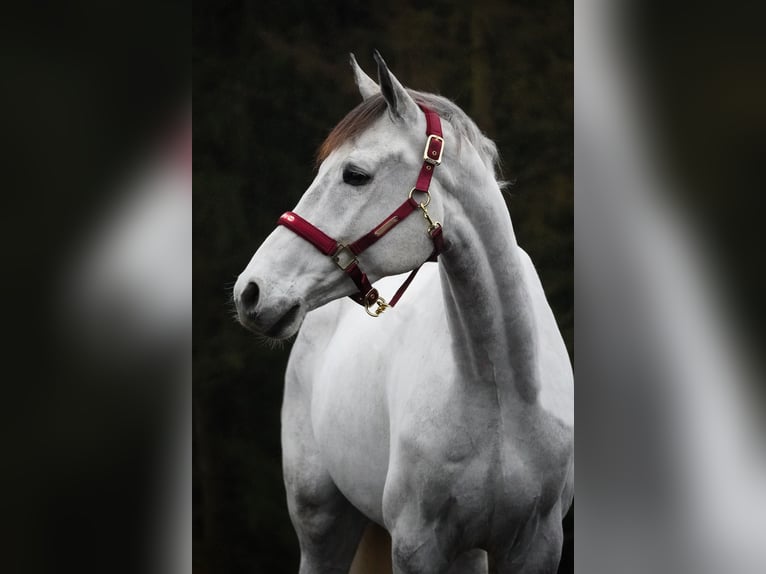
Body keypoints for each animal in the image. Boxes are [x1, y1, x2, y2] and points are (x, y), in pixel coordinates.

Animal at [234, 51, 576, 572]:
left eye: (355, 174)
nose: (251, 292)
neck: (502, 390)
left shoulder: (537, 546)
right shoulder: (417, 545)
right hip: (322, 522)